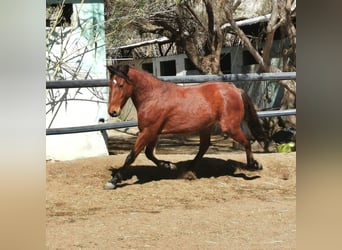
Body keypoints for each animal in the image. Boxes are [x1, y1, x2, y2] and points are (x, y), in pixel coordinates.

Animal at [104, 65, 268, 189]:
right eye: (110, 84)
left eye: (121, 85)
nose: (113, 112)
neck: (153, 97)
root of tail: (236, 90)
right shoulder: (153, 132)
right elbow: (149, 154)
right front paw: (169, 166)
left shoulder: (148, 131)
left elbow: (132, 156)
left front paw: (113, 181)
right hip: (206, 126)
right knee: (204, 146)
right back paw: (189, 170)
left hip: (230, 127)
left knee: (246, 141)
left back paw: (254, 165)